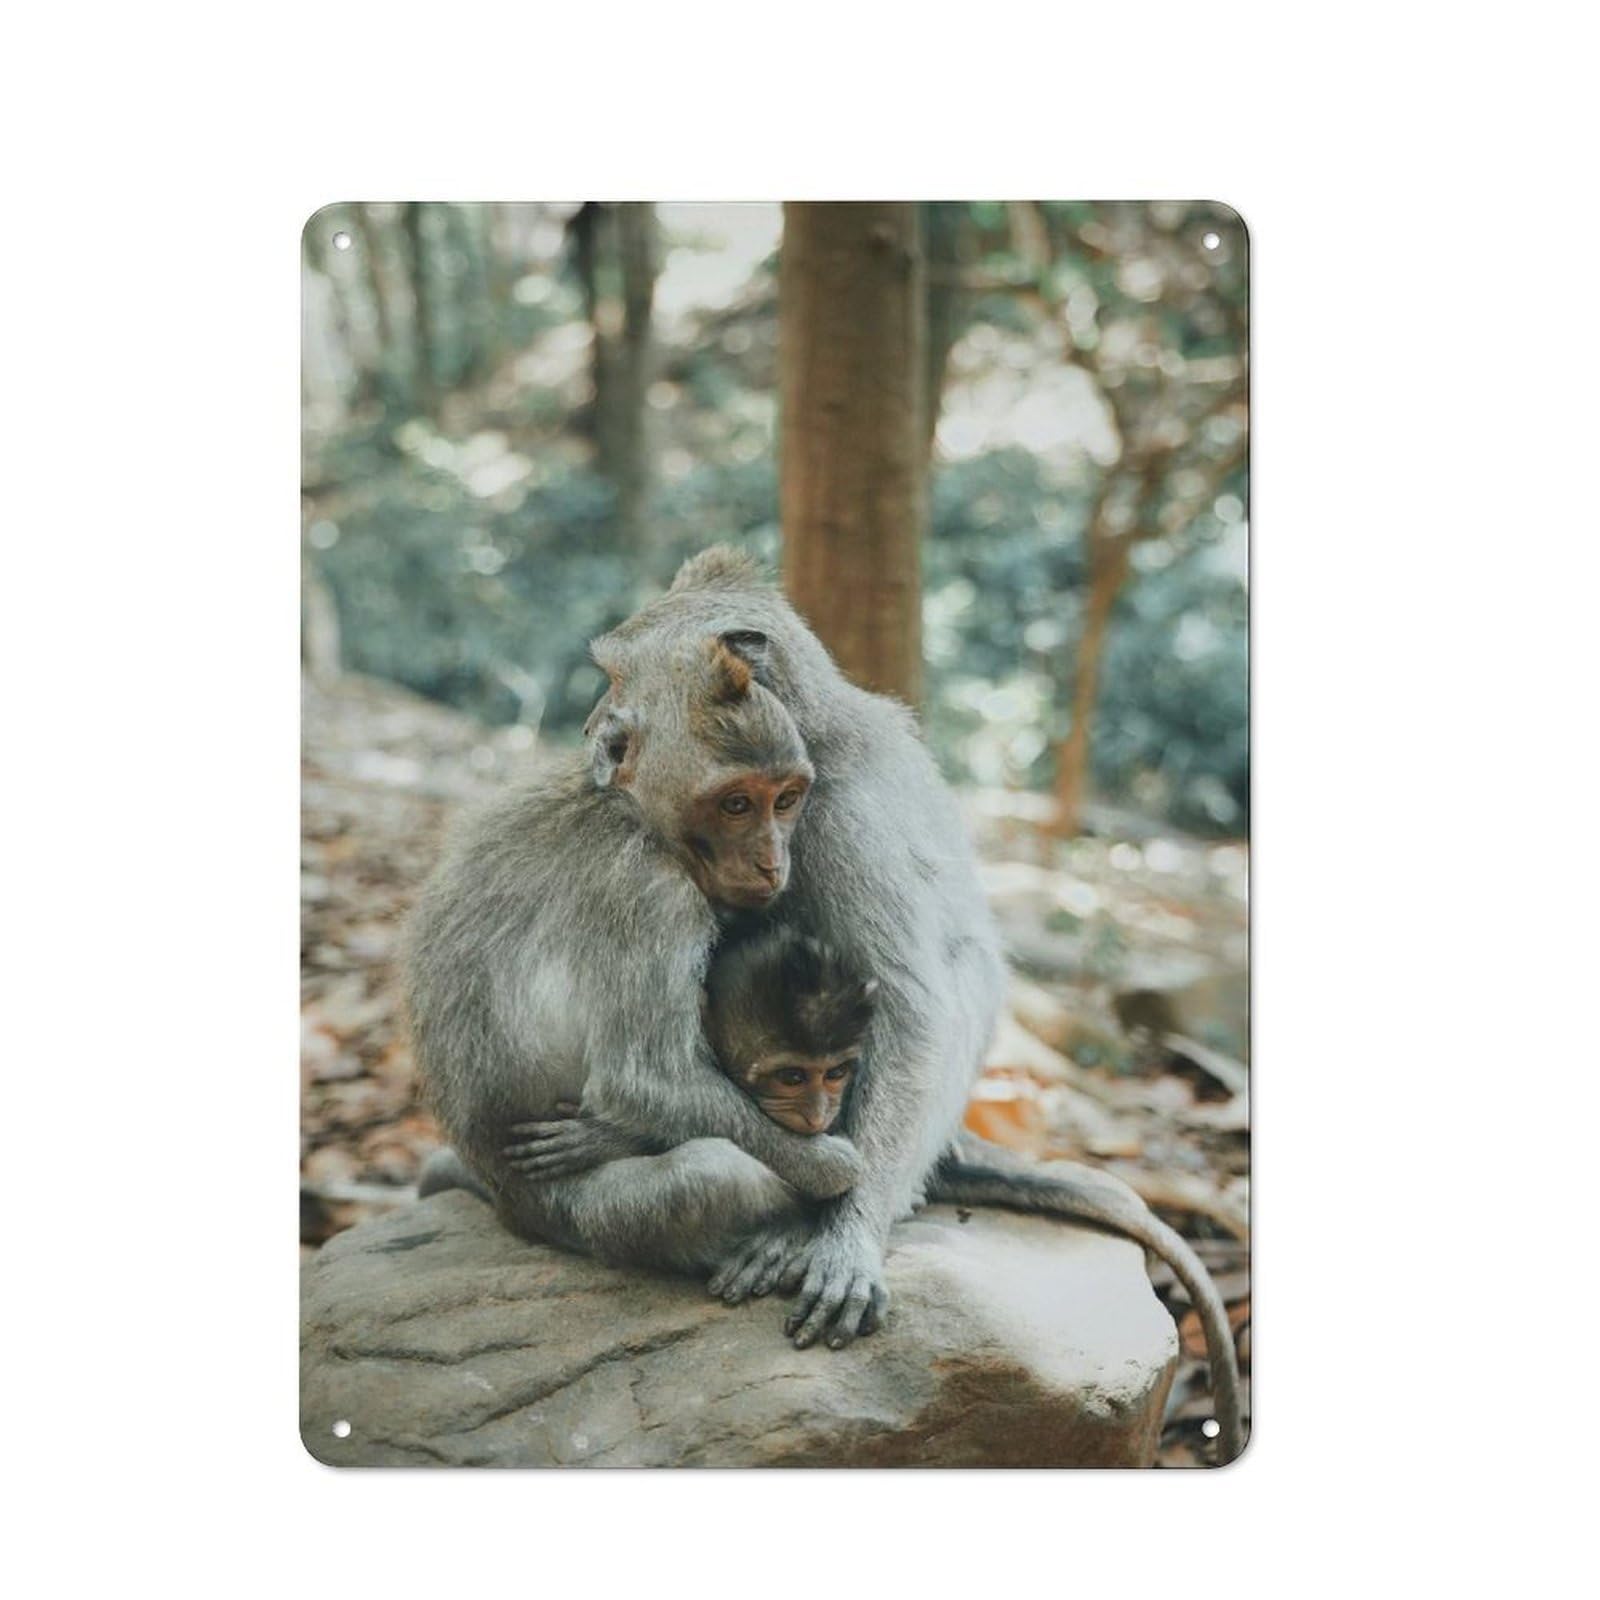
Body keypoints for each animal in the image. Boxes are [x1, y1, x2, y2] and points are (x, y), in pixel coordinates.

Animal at [409, 546, 1243, 1459]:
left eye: (776, 801)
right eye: (607, 679)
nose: (599, 731)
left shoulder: (834, 822)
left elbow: (908, 1013)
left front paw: (842, 1226)